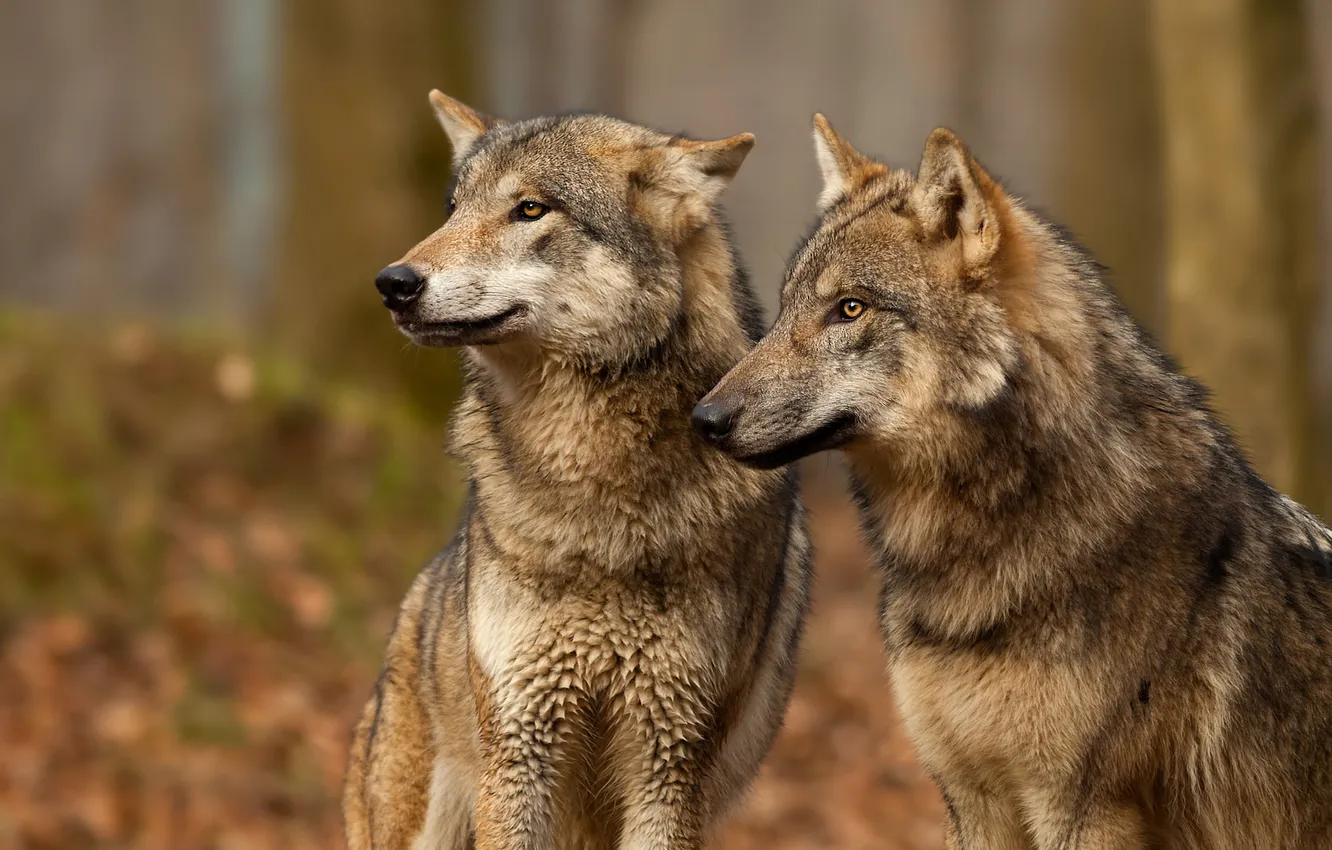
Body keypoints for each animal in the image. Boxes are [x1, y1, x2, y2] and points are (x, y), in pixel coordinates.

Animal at [342, 92, 810, 850]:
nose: (393, 283)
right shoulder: (520, 744)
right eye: (454, 208)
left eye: (530, 209)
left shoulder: (668, 764)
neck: (593, 504)